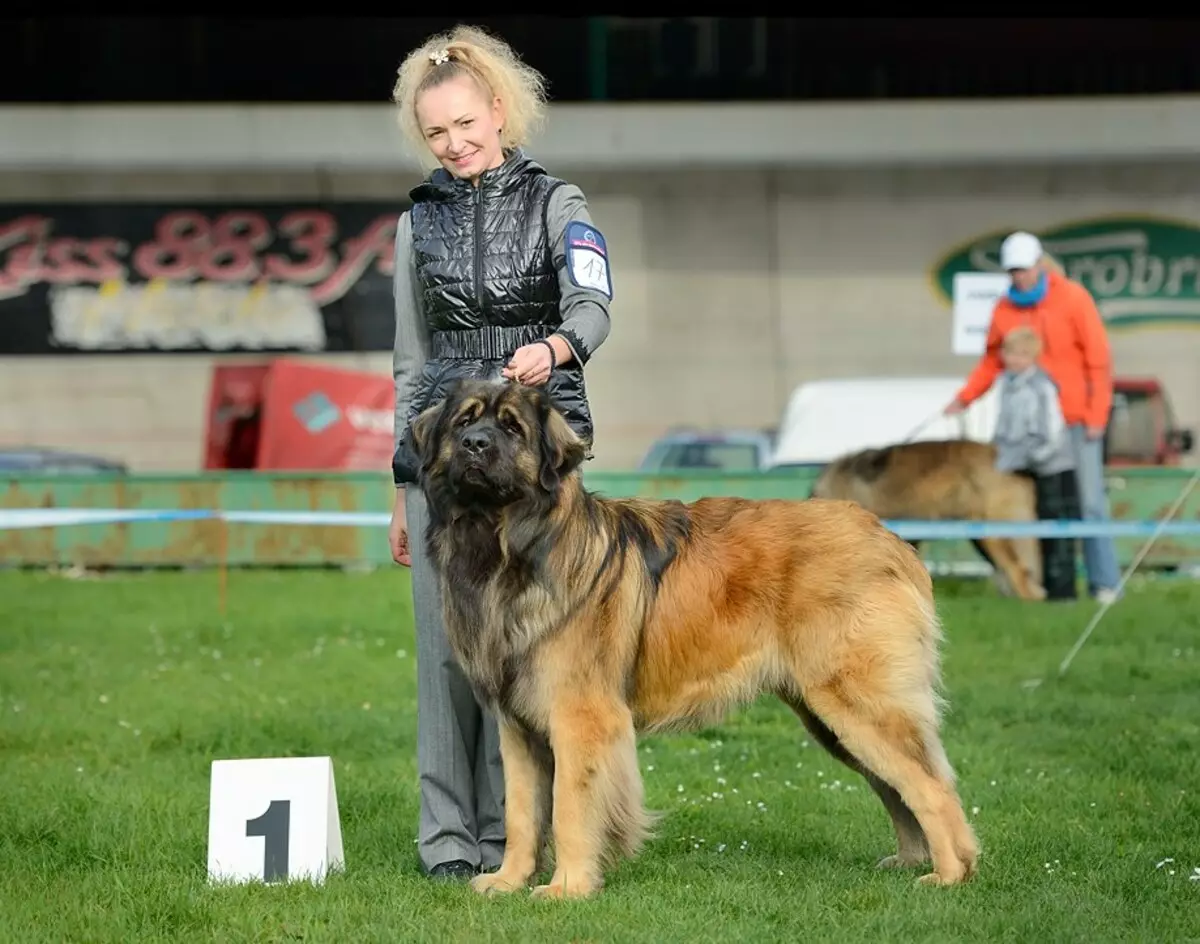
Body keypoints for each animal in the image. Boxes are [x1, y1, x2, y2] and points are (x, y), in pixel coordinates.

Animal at [408, 379, 979, 902]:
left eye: (512, 428)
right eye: (463, 422)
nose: (475, 445)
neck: (505, 547)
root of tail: (891, 540)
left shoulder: (579, 716)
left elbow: (570, 807)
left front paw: (566, 888)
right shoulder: (519, 726)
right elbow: (523, 813)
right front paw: (507, 882)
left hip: (854, 702)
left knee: (930, 786)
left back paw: (950, 873)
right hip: (832, 718)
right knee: (898, 786)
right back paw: (911, 861)